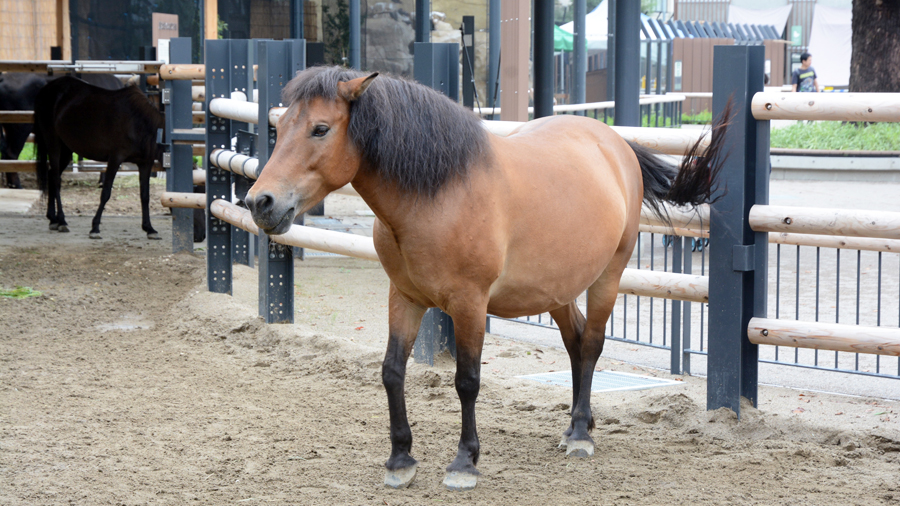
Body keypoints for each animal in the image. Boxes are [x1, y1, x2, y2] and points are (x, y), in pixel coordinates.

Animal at [33, 76, 163, 239]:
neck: (139, 122)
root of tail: (46, 89)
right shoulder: (115, 159)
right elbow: (106, 193)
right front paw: (95, 228)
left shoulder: (145, 163)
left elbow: (145, 196)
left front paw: (149, 228)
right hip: (53, 143)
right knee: (56, 179)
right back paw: (62, 221)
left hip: (66, 149)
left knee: (51, 175)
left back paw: (53, 219)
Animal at [244, 66, 730, 491]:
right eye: (281, 126)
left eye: (320, 129)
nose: (259, 202)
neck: (439, 193)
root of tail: (615, 142)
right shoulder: (404, 297)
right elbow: (392, 372)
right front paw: (400, 461)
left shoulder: (469, 304)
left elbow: (467, 380)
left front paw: (464, 463)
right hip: (556, 288)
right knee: (575, 343)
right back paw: (580, 420)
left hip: (608, 276)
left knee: (591, 344)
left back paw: (579, 435)